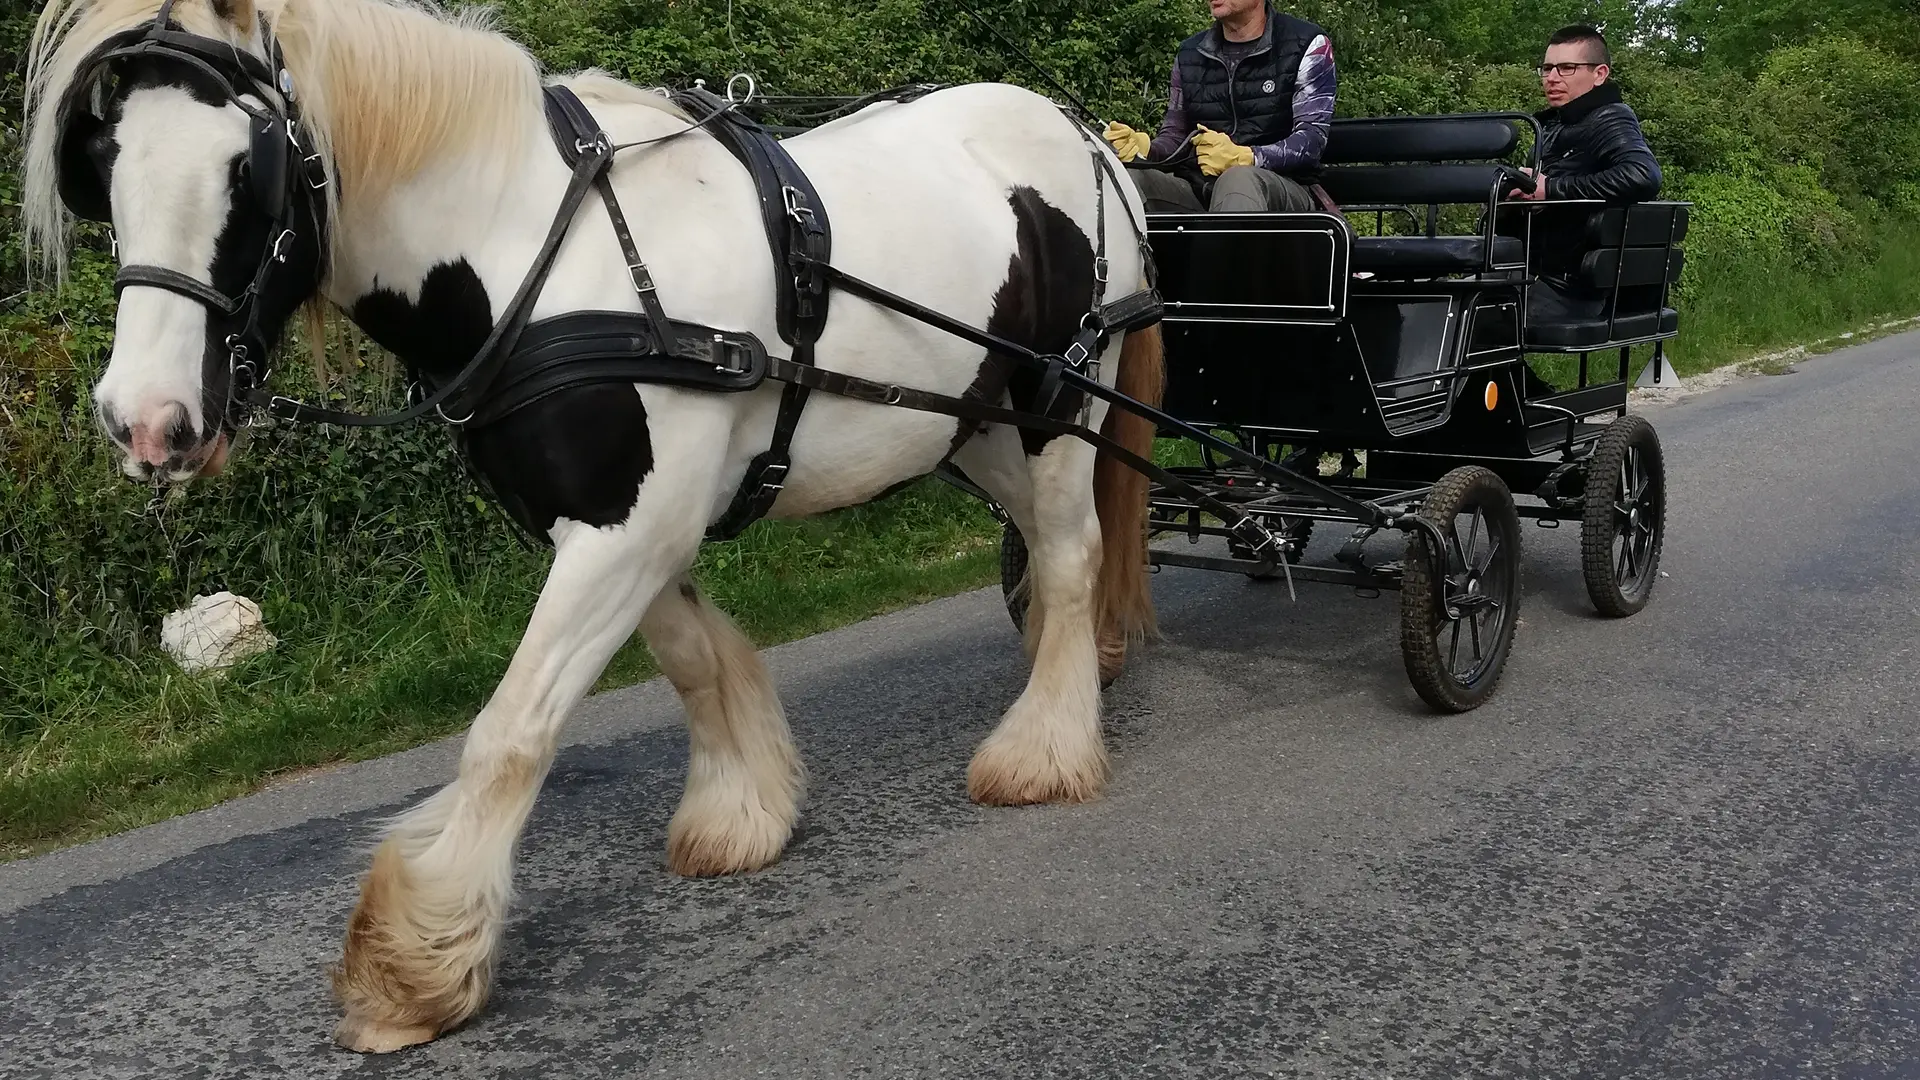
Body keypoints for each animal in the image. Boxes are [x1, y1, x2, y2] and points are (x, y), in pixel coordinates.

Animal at [22, 0, 1159, 1053]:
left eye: (247, 174)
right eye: (104, 170)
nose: (144, 421)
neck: (535, 254)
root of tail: (1080, 130)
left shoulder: (628, 526)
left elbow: (512, 732)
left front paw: (415, 963)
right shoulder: (620, 519)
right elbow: (696, 661)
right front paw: (739, 810)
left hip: (1061, 405)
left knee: (1071, 557)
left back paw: (1043, 750)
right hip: (980, 427)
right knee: (1047, 556)